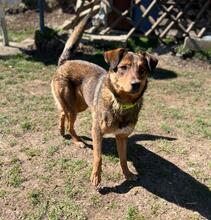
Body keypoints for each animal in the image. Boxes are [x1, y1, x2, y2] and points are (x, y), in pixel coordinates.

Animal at [50, 15, 157, 186]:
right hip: (73, 109)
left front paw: (128, 174)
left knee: (62, 113)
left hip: (80, 106)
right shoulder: (97, 131)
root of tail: (65, 62)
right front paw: (96, 176)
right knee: (69, 123)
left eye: (142, 70)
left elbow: (123, 159)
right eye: (124, 67)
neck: (121, 104)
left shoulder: (122, 136)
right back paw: (77, 141)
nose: (136, 84)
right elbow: (98, 157)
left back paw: (61, 130)